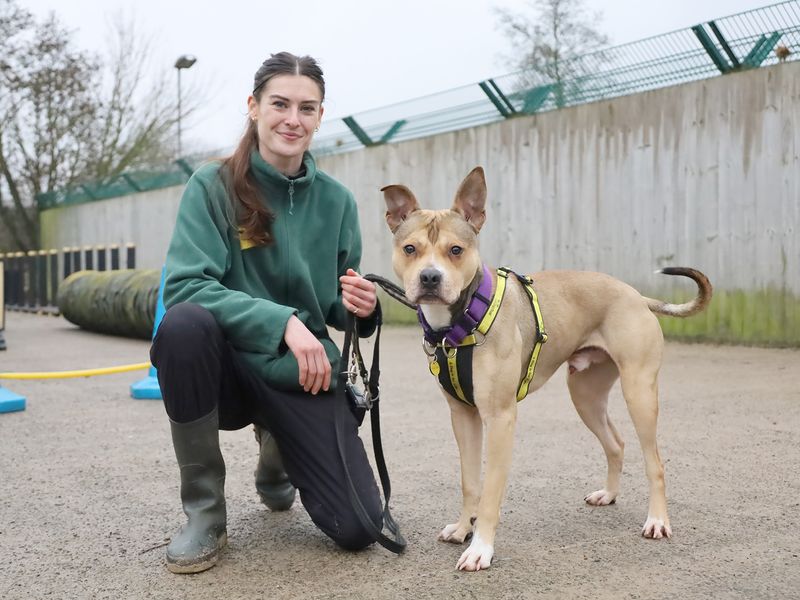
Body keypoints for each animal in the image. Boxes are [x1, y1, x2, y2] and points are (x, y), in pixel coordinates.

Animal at [382, 166, 712, 568]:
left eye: (455, 250)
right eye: (410, 248)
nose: (430, 277)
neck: (462, 320)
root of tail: (636, 295)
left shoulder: (500, 419)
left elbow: (490, 491)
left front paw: (480, 547)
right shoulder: (463, 416)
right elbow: (470, 481)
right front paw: (462, 529)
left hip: (640, 393)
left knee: (655, 462)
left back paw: (658, 520)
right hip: (585, 396)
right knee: (615, 443)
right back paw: (608, 494)